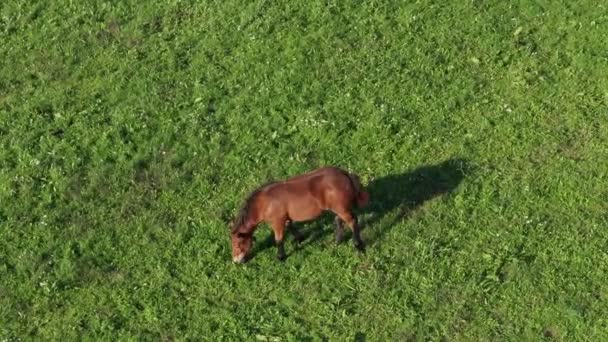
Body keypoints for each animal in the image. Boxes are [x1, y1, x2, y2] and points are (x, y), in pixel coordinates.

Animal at [229, 167, 368, 264]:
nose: (236, 261)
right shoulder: (285, 219)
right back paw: (337, 241)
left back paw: (358, 245)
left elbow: (278, 239)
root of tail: (344, 174)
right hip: (338, 209)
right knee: (339, 221)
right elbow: (291, 227)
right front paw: (299, 238)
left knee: (352, 222)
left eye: (237, 244)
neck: (264, 202)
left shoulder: (277, 222)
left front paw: (281, 257)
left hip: (342, 209)